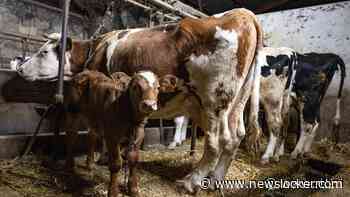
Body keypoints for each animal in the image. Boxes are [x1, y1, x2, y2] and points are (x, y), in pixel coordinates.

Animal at [17, 8, 262, 194]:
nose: (19, 68)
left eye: (43, 52)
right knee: (235, 136)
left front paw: (98, 159)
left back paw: (190, 182)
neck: (96, 49)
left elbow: (99, 134)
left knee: (216, 141)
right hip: (237, 101)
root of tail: (242, 13)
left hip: (213, 100)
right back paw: (215, 180)